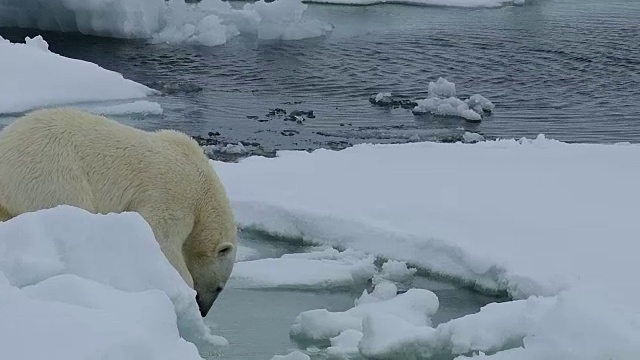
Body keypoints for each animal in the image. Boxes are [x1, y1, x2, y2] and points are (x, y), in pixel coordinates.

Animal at [0, 107, 238, 316]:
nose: (203, 311)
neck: (203, 189)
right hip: (52, 168)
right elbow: (160, 235)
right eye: (219, 287)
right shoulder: (173, 194)